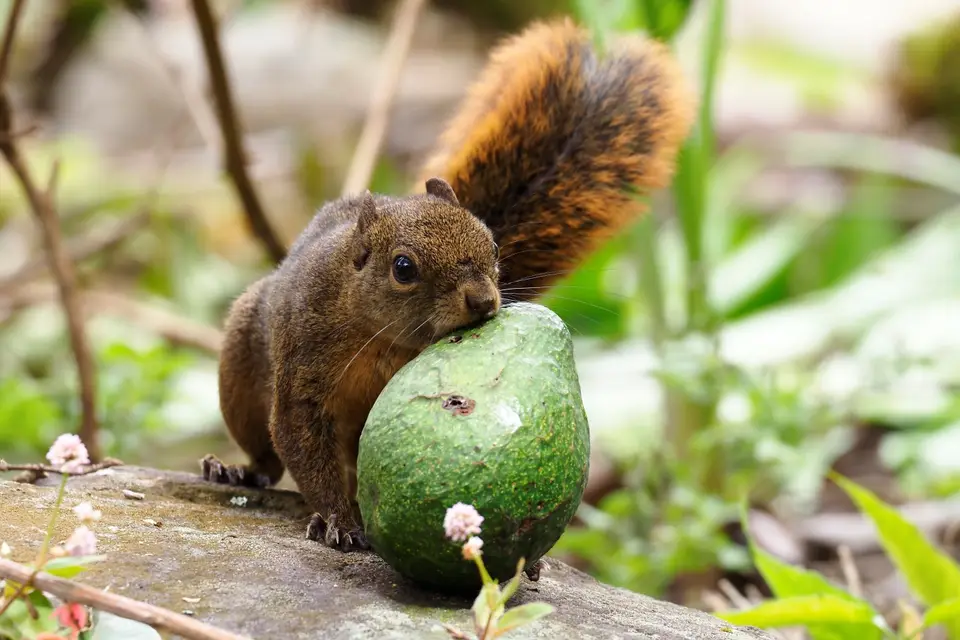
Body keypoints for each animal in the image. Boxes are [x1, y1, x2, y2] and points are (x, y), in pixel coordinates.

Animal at [201, 18, 695, 552]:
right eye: (403, 268)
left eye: (493, 246)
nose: (483, 300)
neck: (376, 334)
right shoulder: (304, 359)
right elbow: (300, 439)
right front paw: (338, 520)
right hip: (240, 372)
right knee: (267, 460)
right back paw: (235, 471)